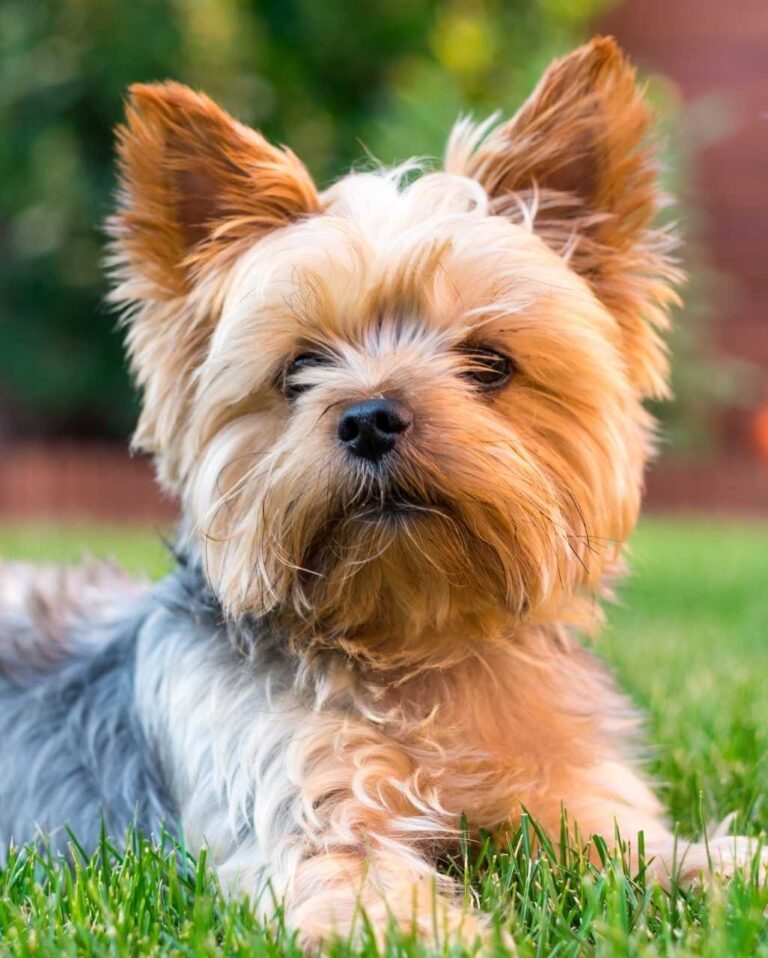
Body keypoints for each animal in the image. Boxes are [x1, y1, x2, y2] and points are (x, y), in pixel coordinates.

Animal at [0, 33, 760, 948]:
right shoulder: (313, 818)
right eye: (299, 367)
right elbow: (381, 907)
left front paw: (725, 867)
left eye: (490, 363)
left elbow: (638, 850)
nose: (368, 417)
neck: (416, 646)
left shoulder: (575, 802)